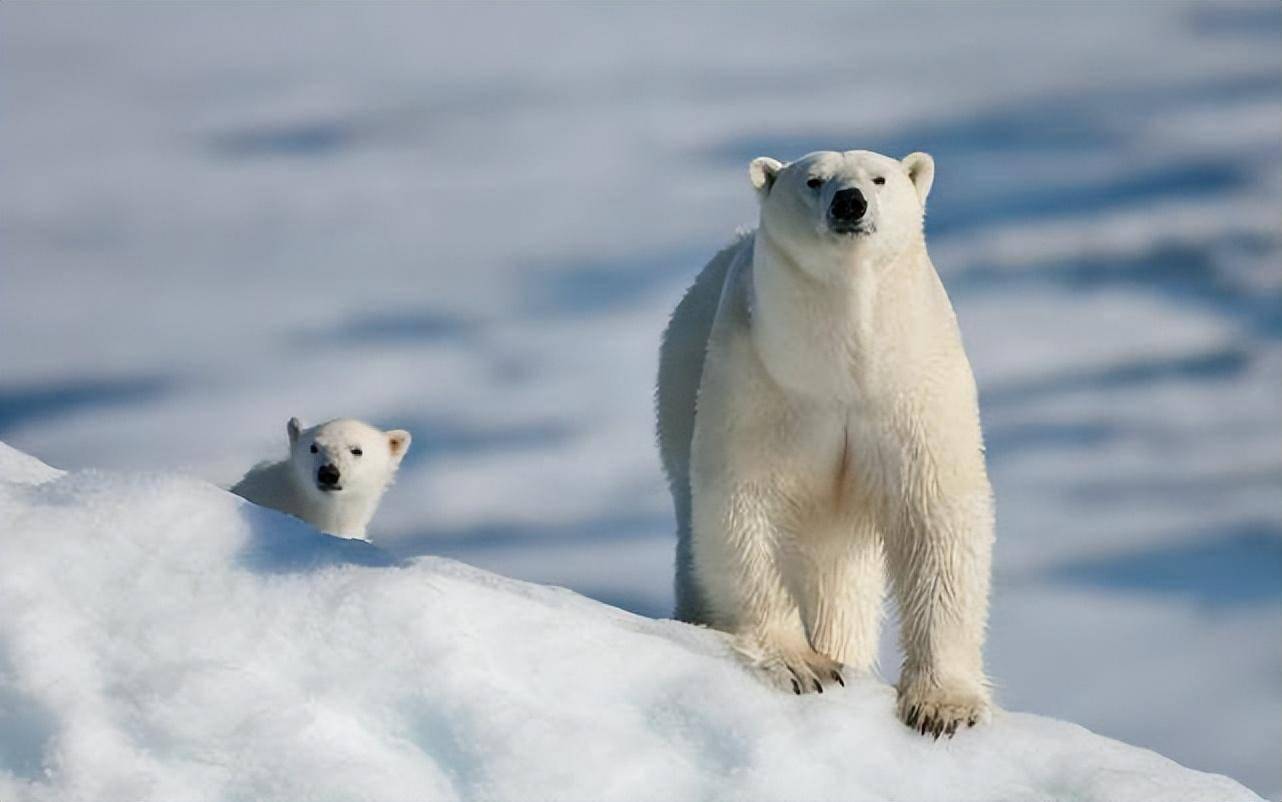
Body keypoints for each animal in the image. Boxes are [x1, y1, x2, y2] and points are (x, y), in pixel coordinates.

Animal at [656, 146, 994, 732]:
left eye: (879, 178)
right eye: (814, 181)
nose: (850, 202)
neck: (844, 366)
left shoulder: (911, 386)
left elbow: (938, 515)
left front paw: (942, 706)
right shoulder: (763, 381)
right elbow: (745, 505)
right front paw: (802, 664)